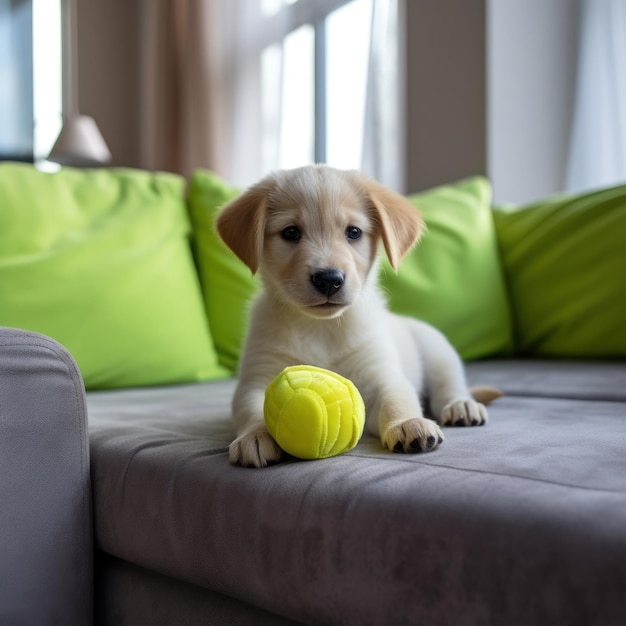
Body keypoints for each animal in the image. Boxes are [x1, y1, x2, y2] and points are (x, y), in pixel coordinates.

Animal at [217, 163, 500, 466]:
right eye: (291, 232)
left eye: (353, 232)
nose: (329, 279)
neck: (321, 328)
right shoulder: (256, 378)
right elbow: (252, 409)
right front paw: (254, 436)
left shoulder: (381, 375)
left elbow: (397, 400)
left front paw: (407, 423)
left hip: (439, 353)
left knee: (448, 387)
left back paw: (462, 406)